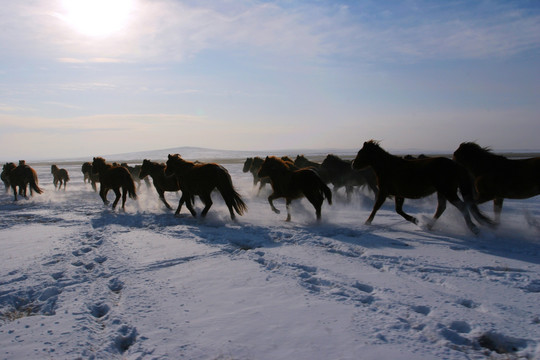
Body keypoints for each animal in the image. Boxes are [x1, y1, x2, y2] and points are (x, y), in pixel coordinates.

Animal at [350, 141, 494, 233]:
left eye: (361, 152)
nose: (353, 164)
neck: (388, 167)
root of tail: (456, 165)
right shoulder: (398, 194)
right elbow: (398, 210)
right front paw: (415, 220)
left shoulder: (384, 192)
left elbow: (376, 207)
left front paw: (367, 222)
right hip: (442, 191)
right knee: (442, 207)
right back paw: (429, 226)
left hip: (448, 191)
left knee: (462, 206)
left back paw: (473, 228)